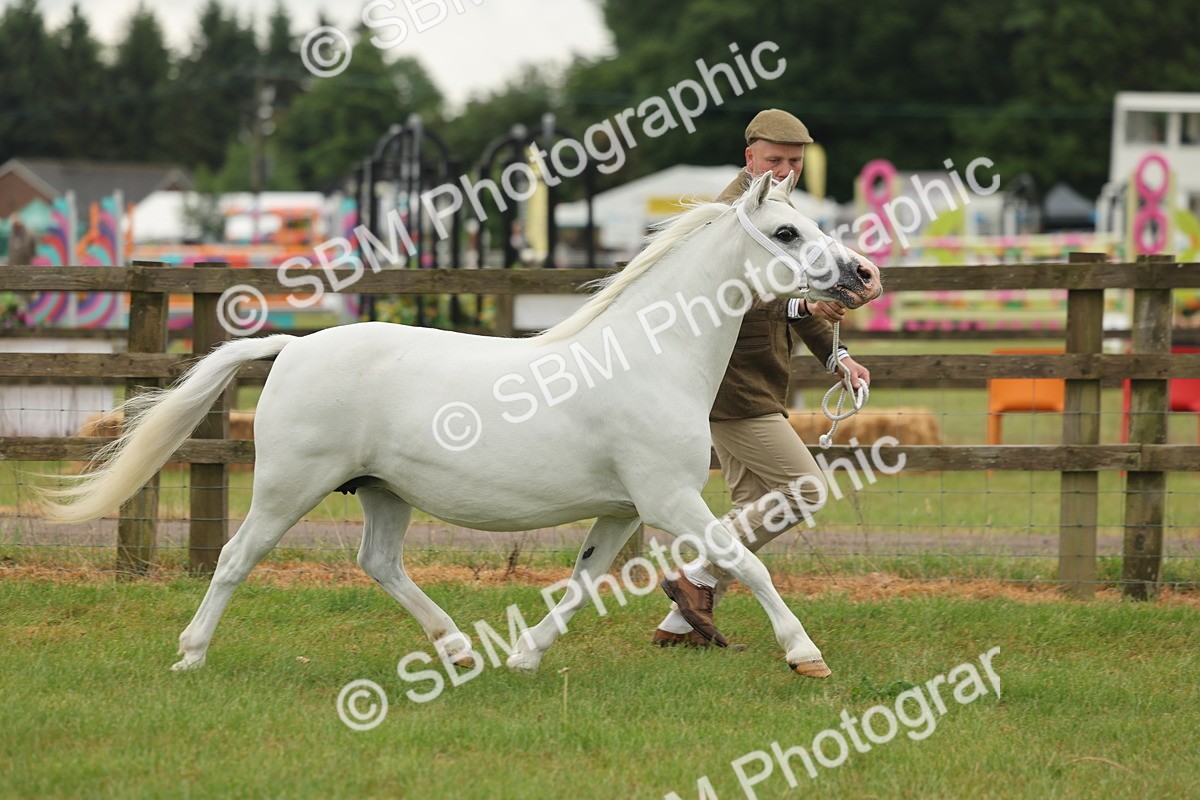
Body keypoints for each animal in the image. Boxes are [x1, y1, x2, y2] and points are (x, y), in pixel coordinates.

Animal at [41, 173, 881, 676]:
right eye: (787, 234)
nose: (864, 274)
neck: (651, 357)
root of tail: (295, 345)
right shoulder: (668, 499)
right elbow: (748, 564)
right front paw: (805, 655)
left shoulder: (621, 510)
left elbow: (581, 583)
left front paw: (526, 655)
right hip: (288, 488)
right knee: (235, 558)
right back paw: (191, 655)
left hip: (381, 491)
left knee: (378, 564)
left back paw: (455, 646)